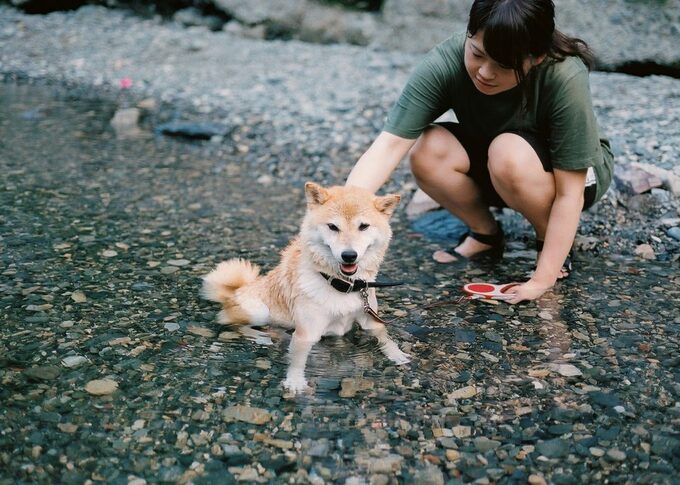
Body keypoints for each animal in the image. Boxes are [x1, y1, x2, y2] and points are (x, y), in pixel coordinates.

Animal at [201, 181, 411, 393]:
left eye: (363, 226)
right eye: (333, 227)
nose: (349, 255)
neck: (341, 285)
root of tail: (235, 290)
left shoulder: (370, 319)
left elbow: (384, 336)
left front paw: (396, 354)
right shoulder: (306, 333)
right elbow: (298, 360)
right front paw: (295, 381)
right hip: (259, 311)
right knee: (236, 325)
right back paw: (263, 337)